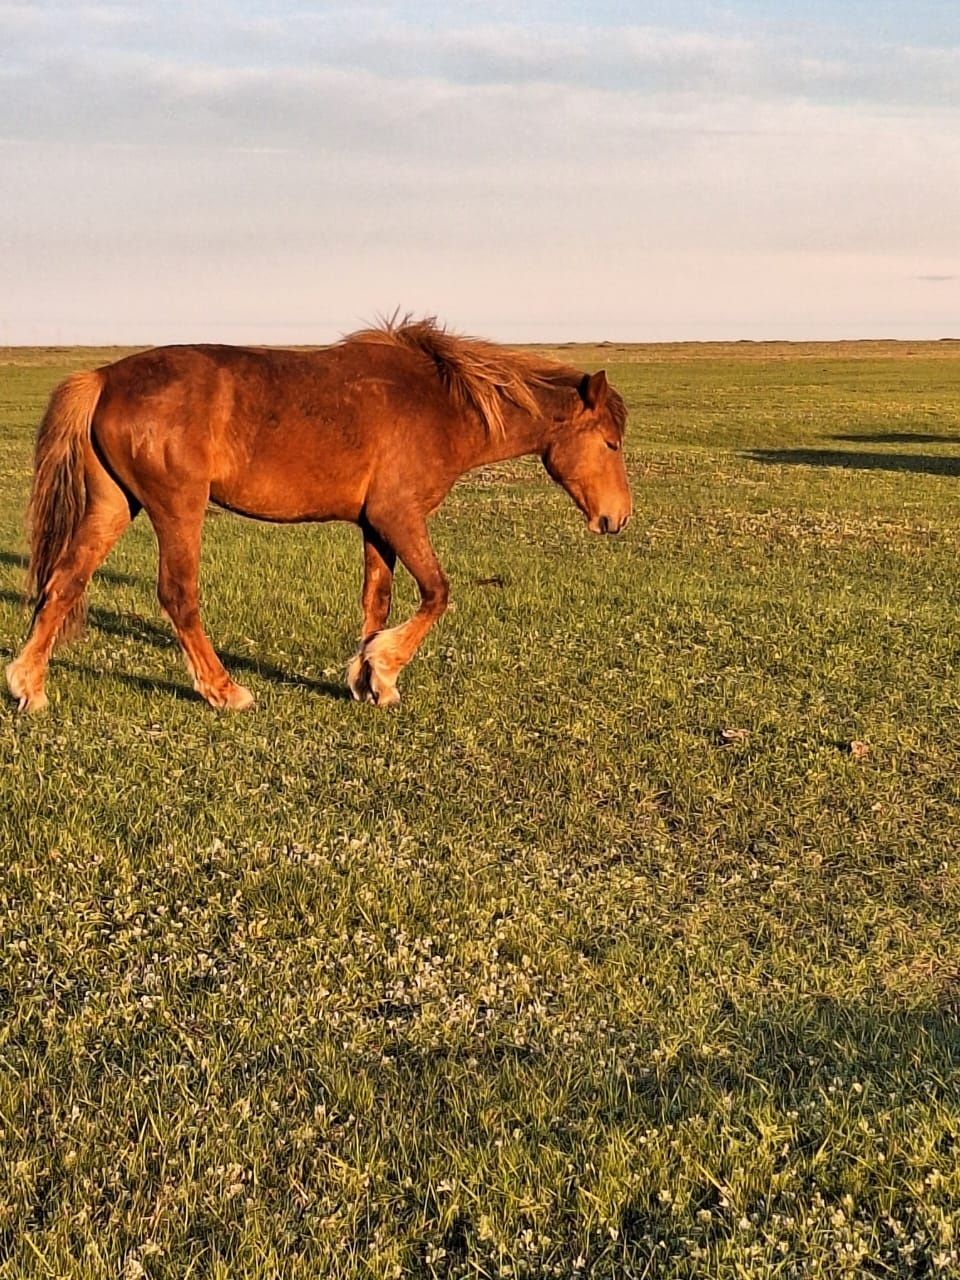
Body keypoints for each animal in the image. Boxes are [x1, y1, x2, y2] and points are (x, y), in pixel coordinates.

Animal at [5, 311, 632, 711]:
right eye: (610, 443)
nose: (617, 519)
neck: (441, 404)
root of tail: (104, 378)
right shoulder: (400, 518)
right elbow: (436, 594)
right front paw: (384, 667)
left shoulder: (376, 526)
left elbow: (377, 602)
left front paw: (370, 681)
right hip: (177, 508)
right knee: (177, 595)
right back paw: (224, 691)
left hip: (114, 505)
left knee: (64, 581)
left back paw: (28, 685)